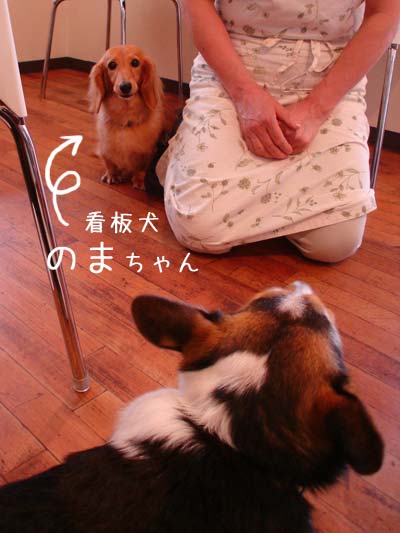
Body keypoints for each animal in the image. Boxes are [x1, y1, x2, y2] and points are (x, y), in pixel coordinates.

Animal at [88, 44, 164, 189]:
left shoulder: (147, 153)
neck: (126, 115)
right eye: (112, 65)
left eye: (135, 62)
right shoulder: (106, 148)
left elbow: (141, 168)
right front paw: (112, 175)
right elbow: (109, 162)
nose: (125, 86)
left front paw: (140, 180)